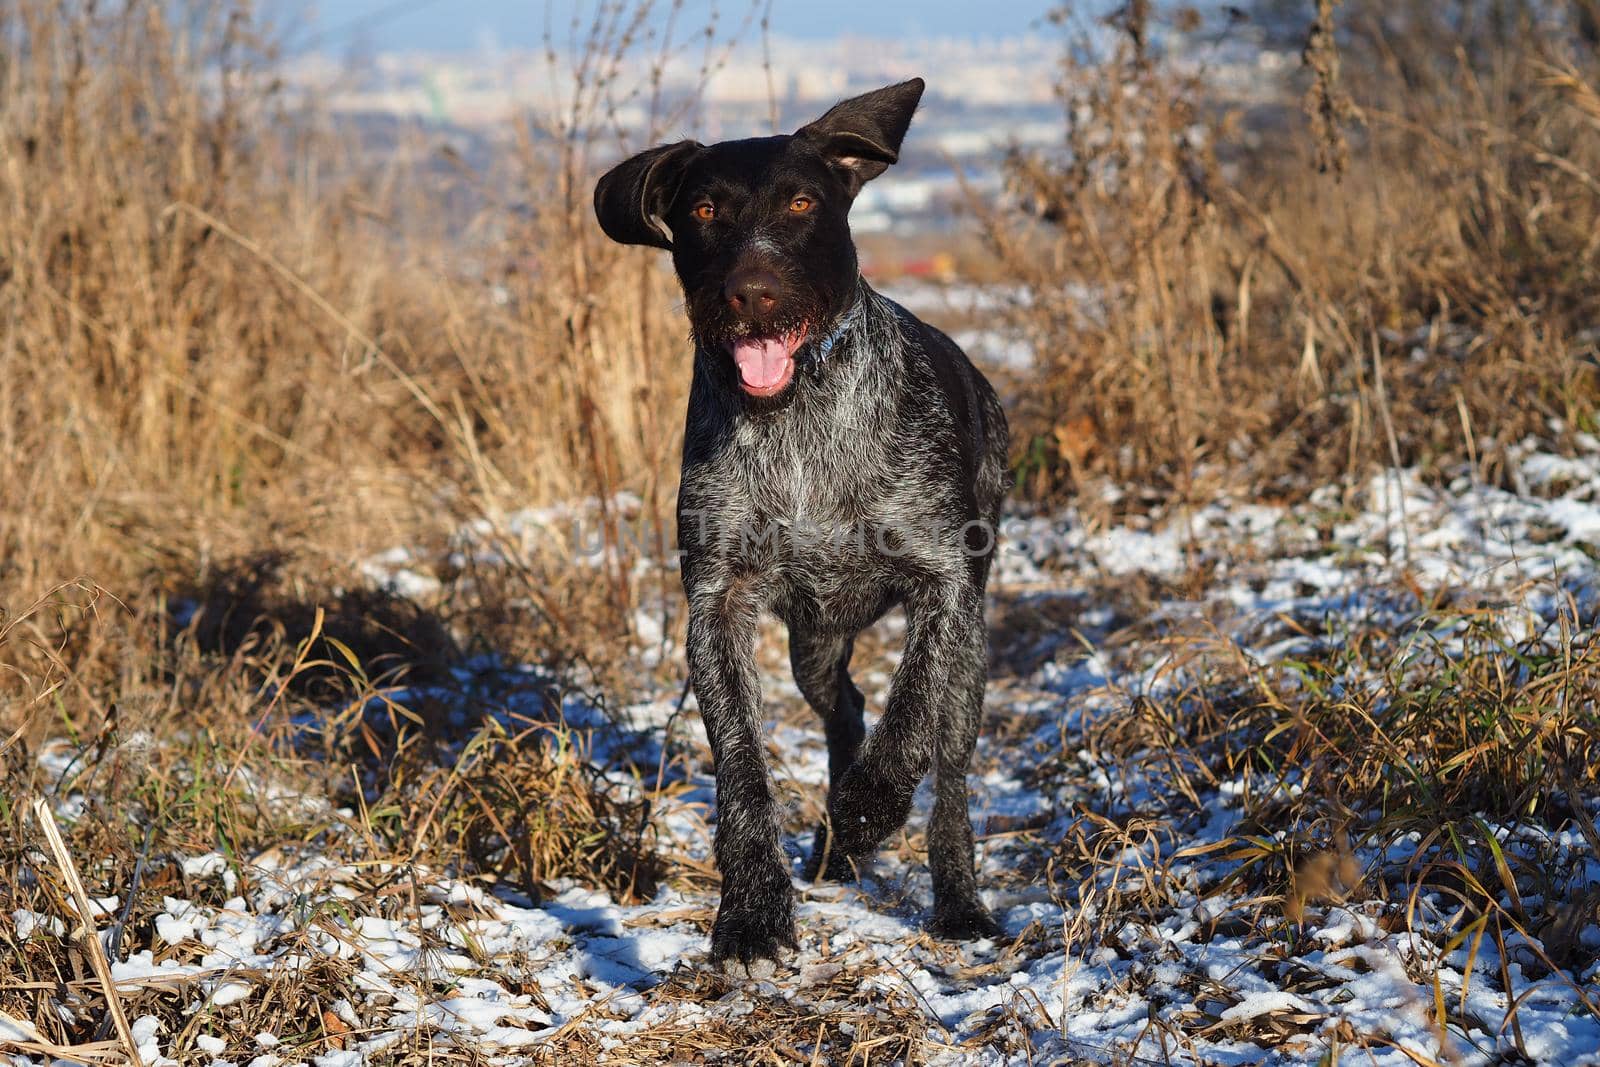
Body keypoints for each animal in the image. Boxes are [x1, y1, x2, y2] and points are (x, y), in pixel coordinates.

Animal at [595, 79, 1004, 972]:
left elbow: (912, 709)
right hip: (814, 641)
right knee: (844, 704)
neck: (797, 419)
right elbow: (741, 759)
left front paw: (867, 806)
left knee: (949, 769)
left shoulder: (945, 584)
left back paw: (953, 897)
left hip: (971, 652)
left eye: (802, 202)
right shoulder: (718, 602)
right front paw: (752, 909)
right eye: (704, 208)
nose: (751, 293)